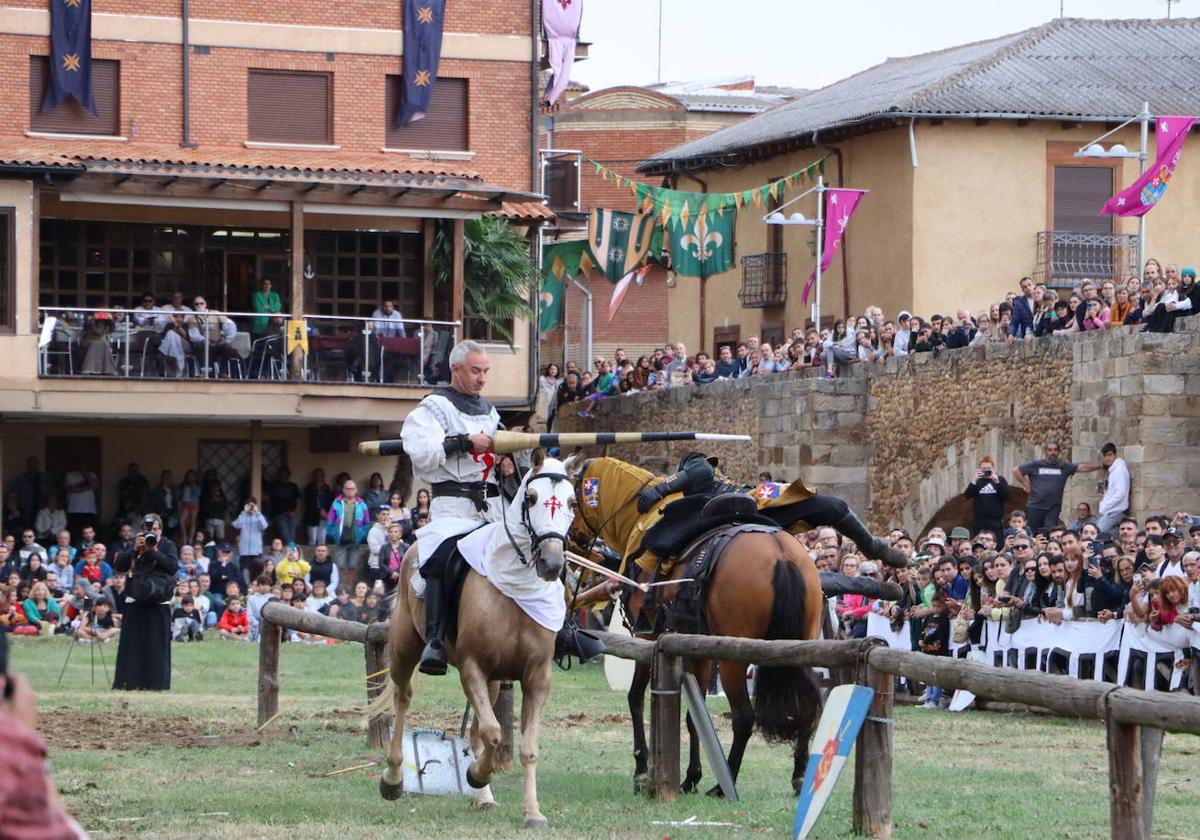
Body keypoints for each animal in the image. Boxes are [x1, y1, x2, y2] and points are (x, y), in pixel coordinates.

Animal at [374, 458, 580, 825]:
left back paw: (483, 797)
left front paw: (532, 812)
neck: (513, 590)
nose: (551, 563)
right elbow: (493, 733)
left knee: (473, 729)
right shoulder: (473, 668)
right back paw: (394, 778)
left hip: (496, 680)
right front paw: (476, 774)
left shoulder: (536, 676)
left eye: (571, 503)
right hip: (404, 649)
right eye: (531, 498)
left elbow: (525, 747)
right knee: (402, 698)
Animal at [571, 456, 825, 796]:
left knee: (744, 717)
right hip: (800, 647)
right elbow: (696, 714)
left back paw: (724, 783)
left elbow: (636, 698)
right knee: (808, 706)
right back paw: (798, 777)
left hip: (734, 659)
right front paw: (691, 776)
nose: (572, 540)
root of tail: (780, 554)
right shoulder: (697, 648)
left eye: (572, 502)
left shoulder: (647, 639)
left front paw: (642, 769)